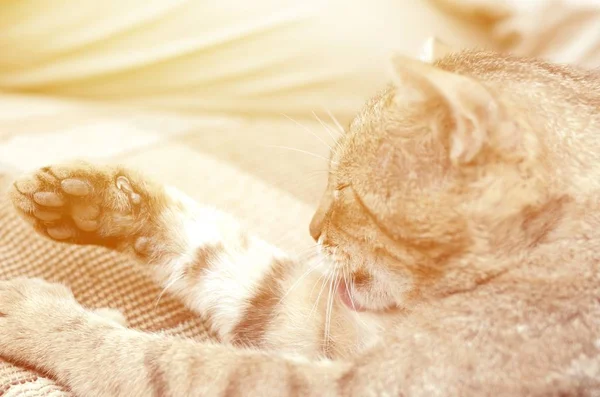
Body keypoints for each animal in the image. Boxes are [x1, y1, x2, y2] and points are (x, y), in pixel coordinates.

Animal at [1, 48, 600, 394]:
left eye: (347, 190)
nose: (313, 228)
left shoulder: (358, 381)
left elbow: (157, 360)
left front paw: (36, 315)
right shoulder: (333, 323)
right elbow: (231, 262)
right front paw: (96, 202)